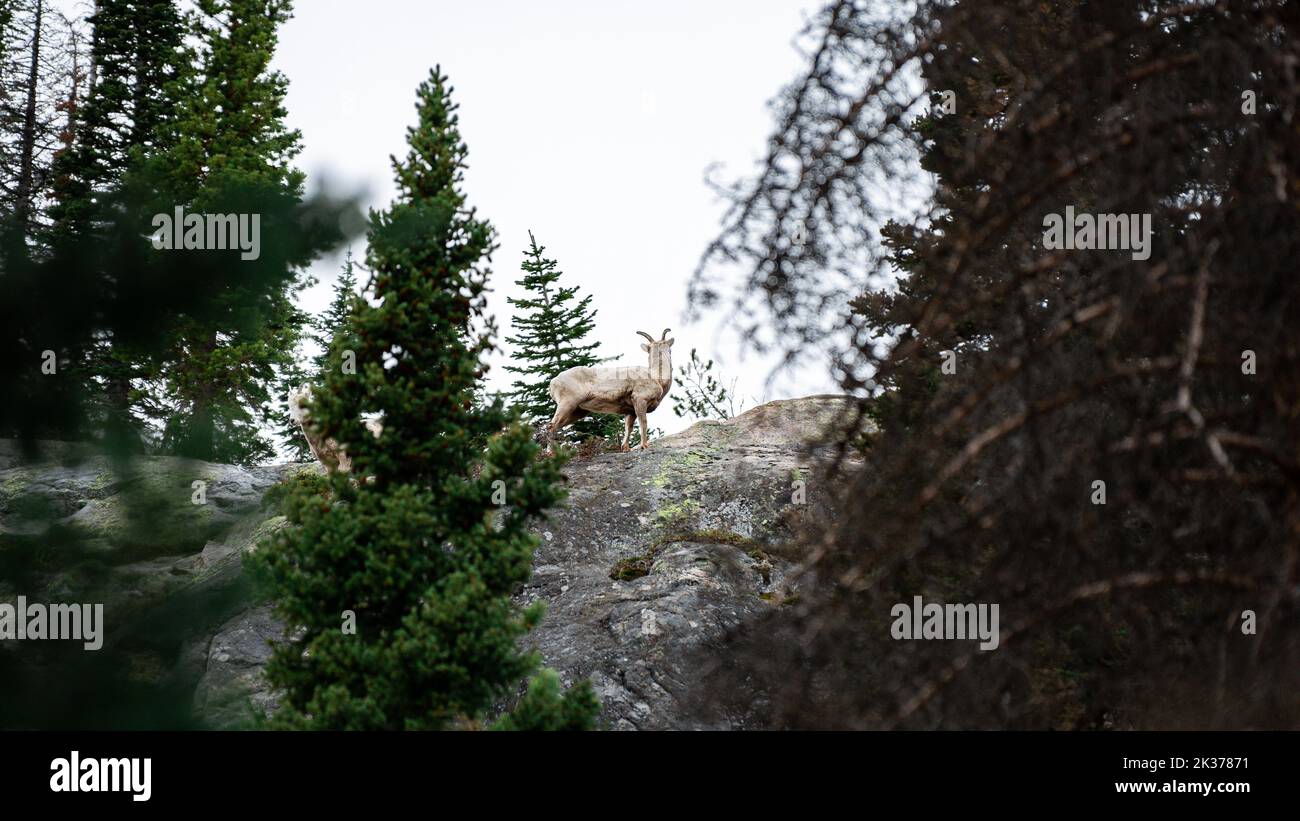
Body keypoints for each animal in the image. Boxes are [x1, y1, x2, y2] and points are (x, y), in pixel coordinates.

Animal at [543, 328, 676, 454]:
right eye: (670, 350)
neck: (657, 378)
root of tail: (553, 382)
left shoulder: (630, 411)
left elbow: (628, 428)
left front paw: (625, 448)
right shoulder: (640, 400)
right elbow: (643, 423)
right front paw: (644, 446)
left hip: (578, 411)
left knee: (556, 427)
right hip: (567, 404)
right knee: (551, 426)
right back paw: (550, 453)